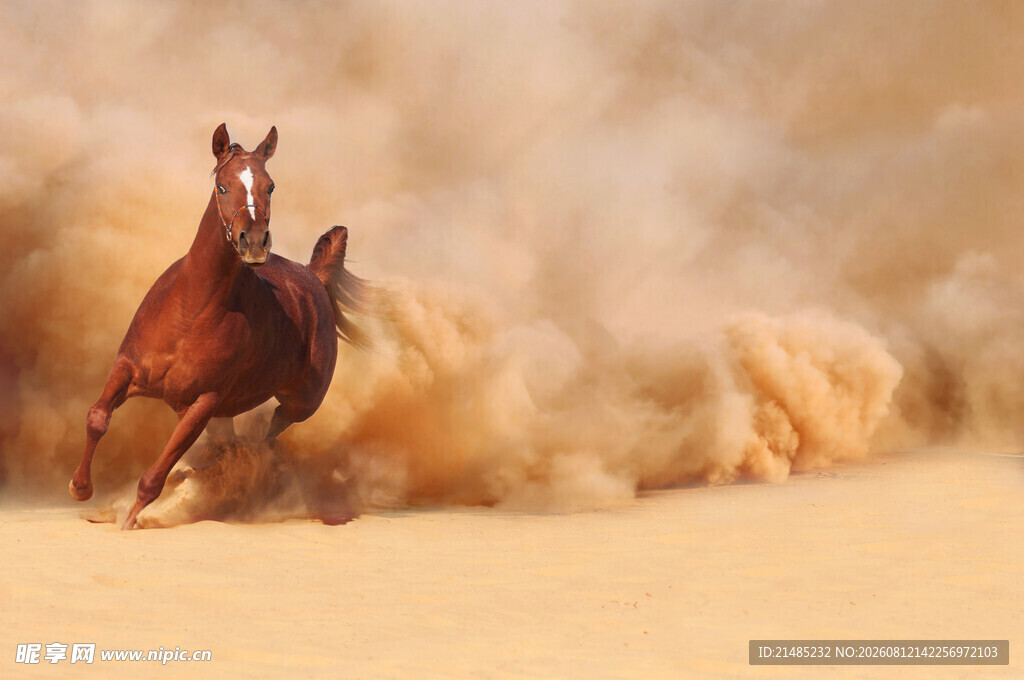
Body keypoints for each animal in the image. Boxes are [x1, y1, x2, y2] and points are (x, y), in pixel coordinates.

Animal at [69, 123, 368, 529]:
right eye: (223, 186)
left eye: (270, 186)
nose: (254, 242)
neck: (190, 312)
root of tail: (314, 278)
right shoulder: (127, 367)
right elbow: (97, 417)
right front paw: (80, 487)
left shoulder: (203, 402)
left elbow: (157, 473)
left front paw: (130, 520)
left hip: (301, 401)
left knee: (269, 433)